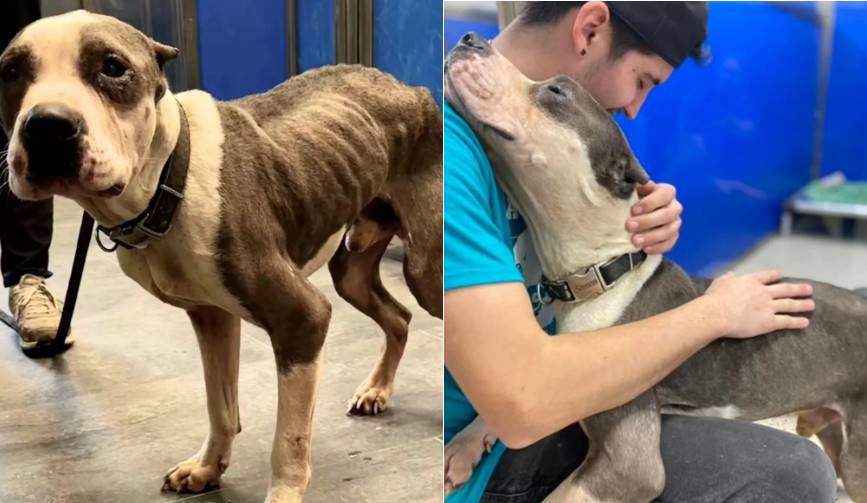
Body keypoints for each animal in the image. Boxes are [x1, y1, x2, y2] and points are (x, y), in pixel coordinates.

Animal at [1, 9, 440, 502]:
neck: (168, 178)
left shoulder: (302, 319)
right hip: (352, 272)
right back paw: (377, 389)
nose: (46, 126)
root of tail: (413, 89)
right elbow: (221, 405)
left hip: (426, 270)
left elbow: (288, 441)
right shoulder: (212, 316)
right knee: (399, 317)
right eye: (11, 71)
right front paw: (207, 468)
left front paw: (282, 493)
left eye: (113, 67)